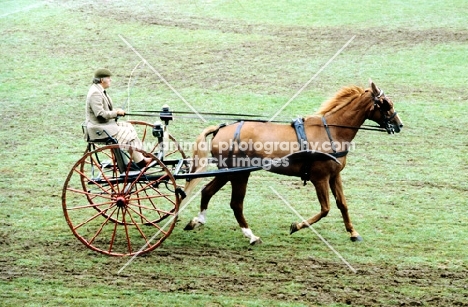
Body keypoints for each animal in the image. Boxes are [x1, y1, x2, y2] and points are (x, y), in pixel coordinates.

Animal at [183, 81, 402, 245]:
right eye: (385, 103)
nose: (399, 124)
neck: (331, 131)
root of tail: (221, 128)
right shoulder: (319, 178)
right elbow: (325, 209)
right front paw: (296, 226)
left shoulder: (334, 175)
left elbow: (342, 204)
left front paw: (353, 233)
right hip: (239, 173)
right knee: (236, 204)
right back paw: (251, 236)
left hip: (228, 171)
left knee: (207, 191)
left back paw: (197, 221)